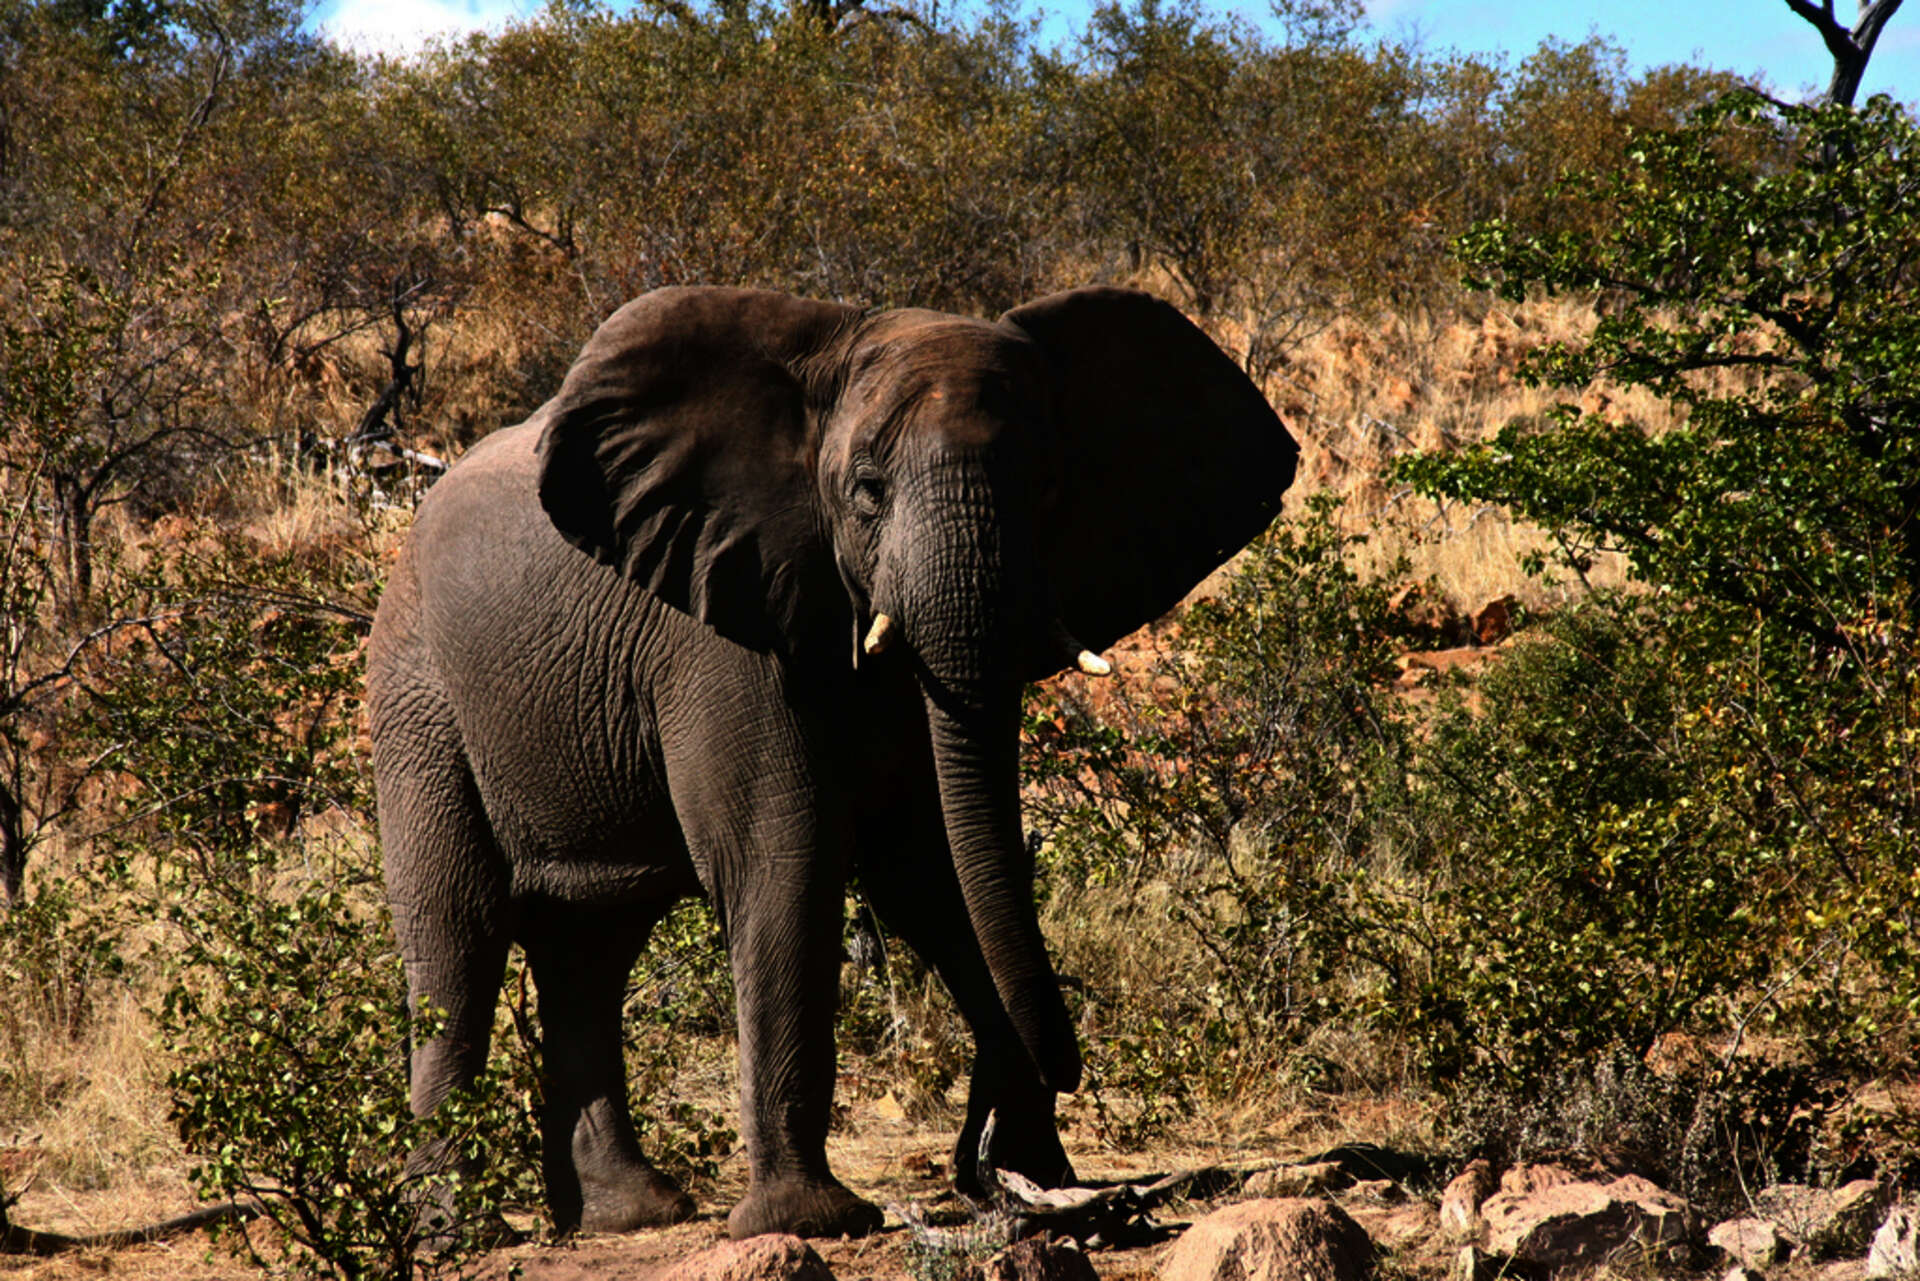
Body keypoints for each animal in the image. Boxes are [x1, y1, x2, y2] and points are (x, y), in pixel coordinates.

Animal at [366, 284, 1297, 1241]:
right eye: (867, 491)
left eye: (1048, 486)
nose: (1057, 1073)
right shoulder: (718, 630)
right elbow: (788, 859)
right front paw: (811, 1221)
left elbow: (931, 869)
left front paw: (1037, 1172)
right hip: (417, 697)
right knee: (457, 934)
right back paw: (451, 1231)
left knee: (590, 945)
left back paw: (630, 1215)